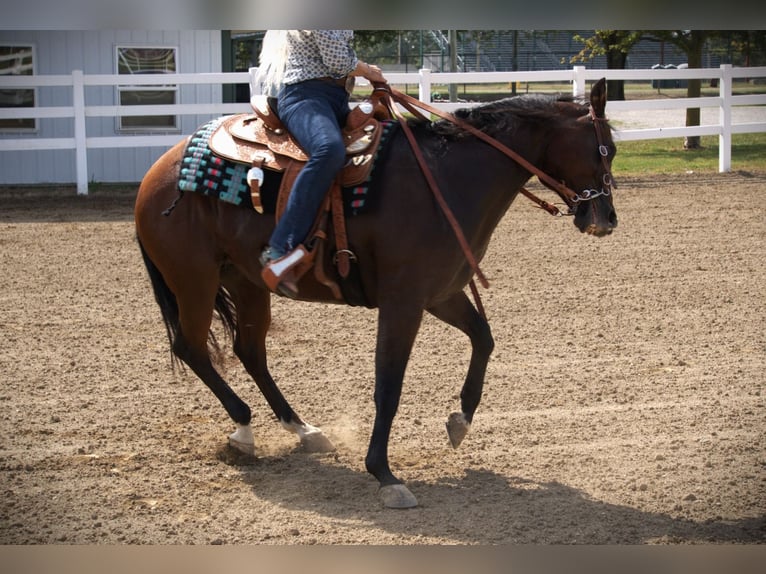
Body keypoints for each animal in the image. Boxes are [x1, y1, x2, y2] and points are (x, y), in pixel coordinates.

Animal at [134, 78, 617, 508]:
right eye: (603, 148)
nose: (606, 220)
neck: (448, 178)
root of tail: (159, 169)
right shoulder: (403, 302)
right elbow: (389, 384)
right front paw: (384, 474)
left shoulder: (439, 293)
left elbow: (483, 338)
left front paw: (460, 420)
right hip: (193, 279)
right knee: (192, 347)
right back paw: (244, 427)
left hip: (246, 282)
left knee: (249, 350)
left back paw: (302, 429)